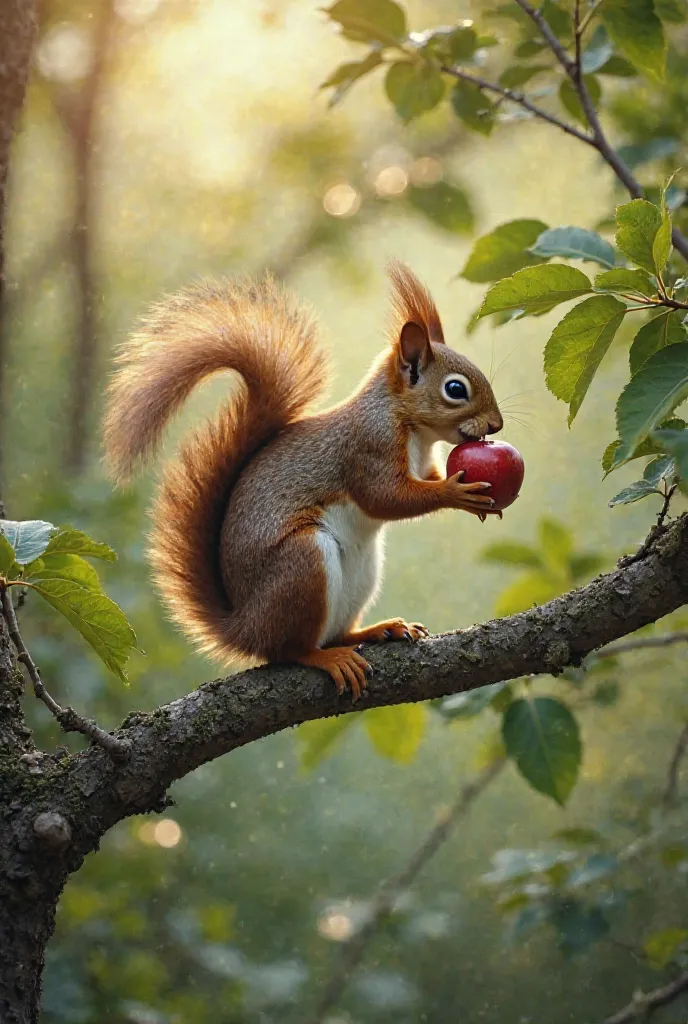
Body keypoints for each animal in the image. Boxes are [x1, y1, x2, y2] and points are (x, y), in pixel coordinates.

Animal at [105, 260, 505, 700]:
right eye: (455, 389)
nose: (496, 425)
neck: (413, 429)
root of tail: (245, 627)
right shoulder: (368, 448)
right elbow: (386, 497)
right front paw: (456, 491)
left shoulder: (423, 464)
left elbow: (423, 482)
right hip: (302, 564)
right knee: (290, 649)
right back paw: (326, 658)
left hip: (363, 572)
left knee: (336, 633)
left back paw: (377, 630)